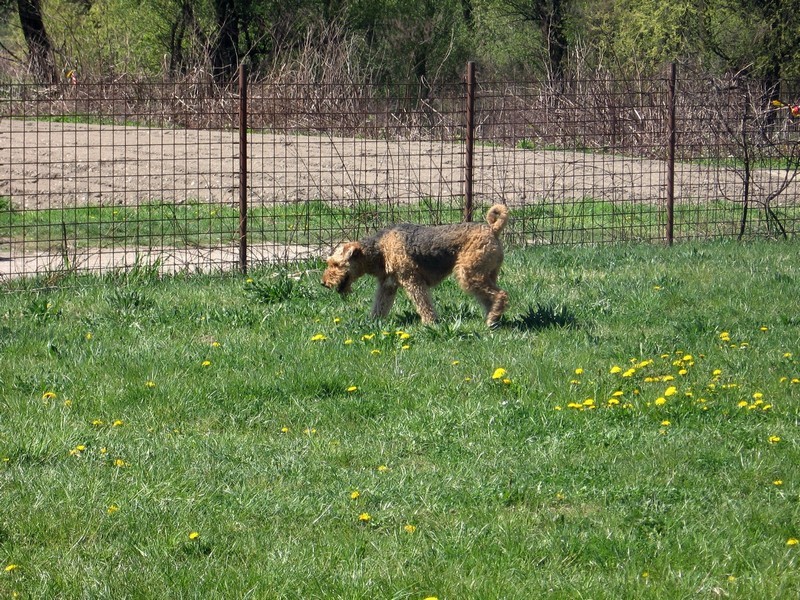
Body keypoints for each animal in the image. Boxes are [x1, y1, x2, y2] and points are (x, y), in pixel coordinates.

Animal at [322, 206, 510, 328]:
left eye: (336, 264)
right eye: (329, 262)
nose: (323, 283)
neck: (380, 248)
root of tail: (492, 229)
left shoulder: (412, 280)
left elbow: (423, 304)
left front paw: (430, 323)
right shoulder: (387, 285)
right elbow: (380, 306)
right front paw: (373, 322)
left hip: (468, 274)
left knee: (500, 294)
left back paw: (492, 319)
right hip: (486, 274)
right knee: (490, 297)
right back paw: (492, 318)